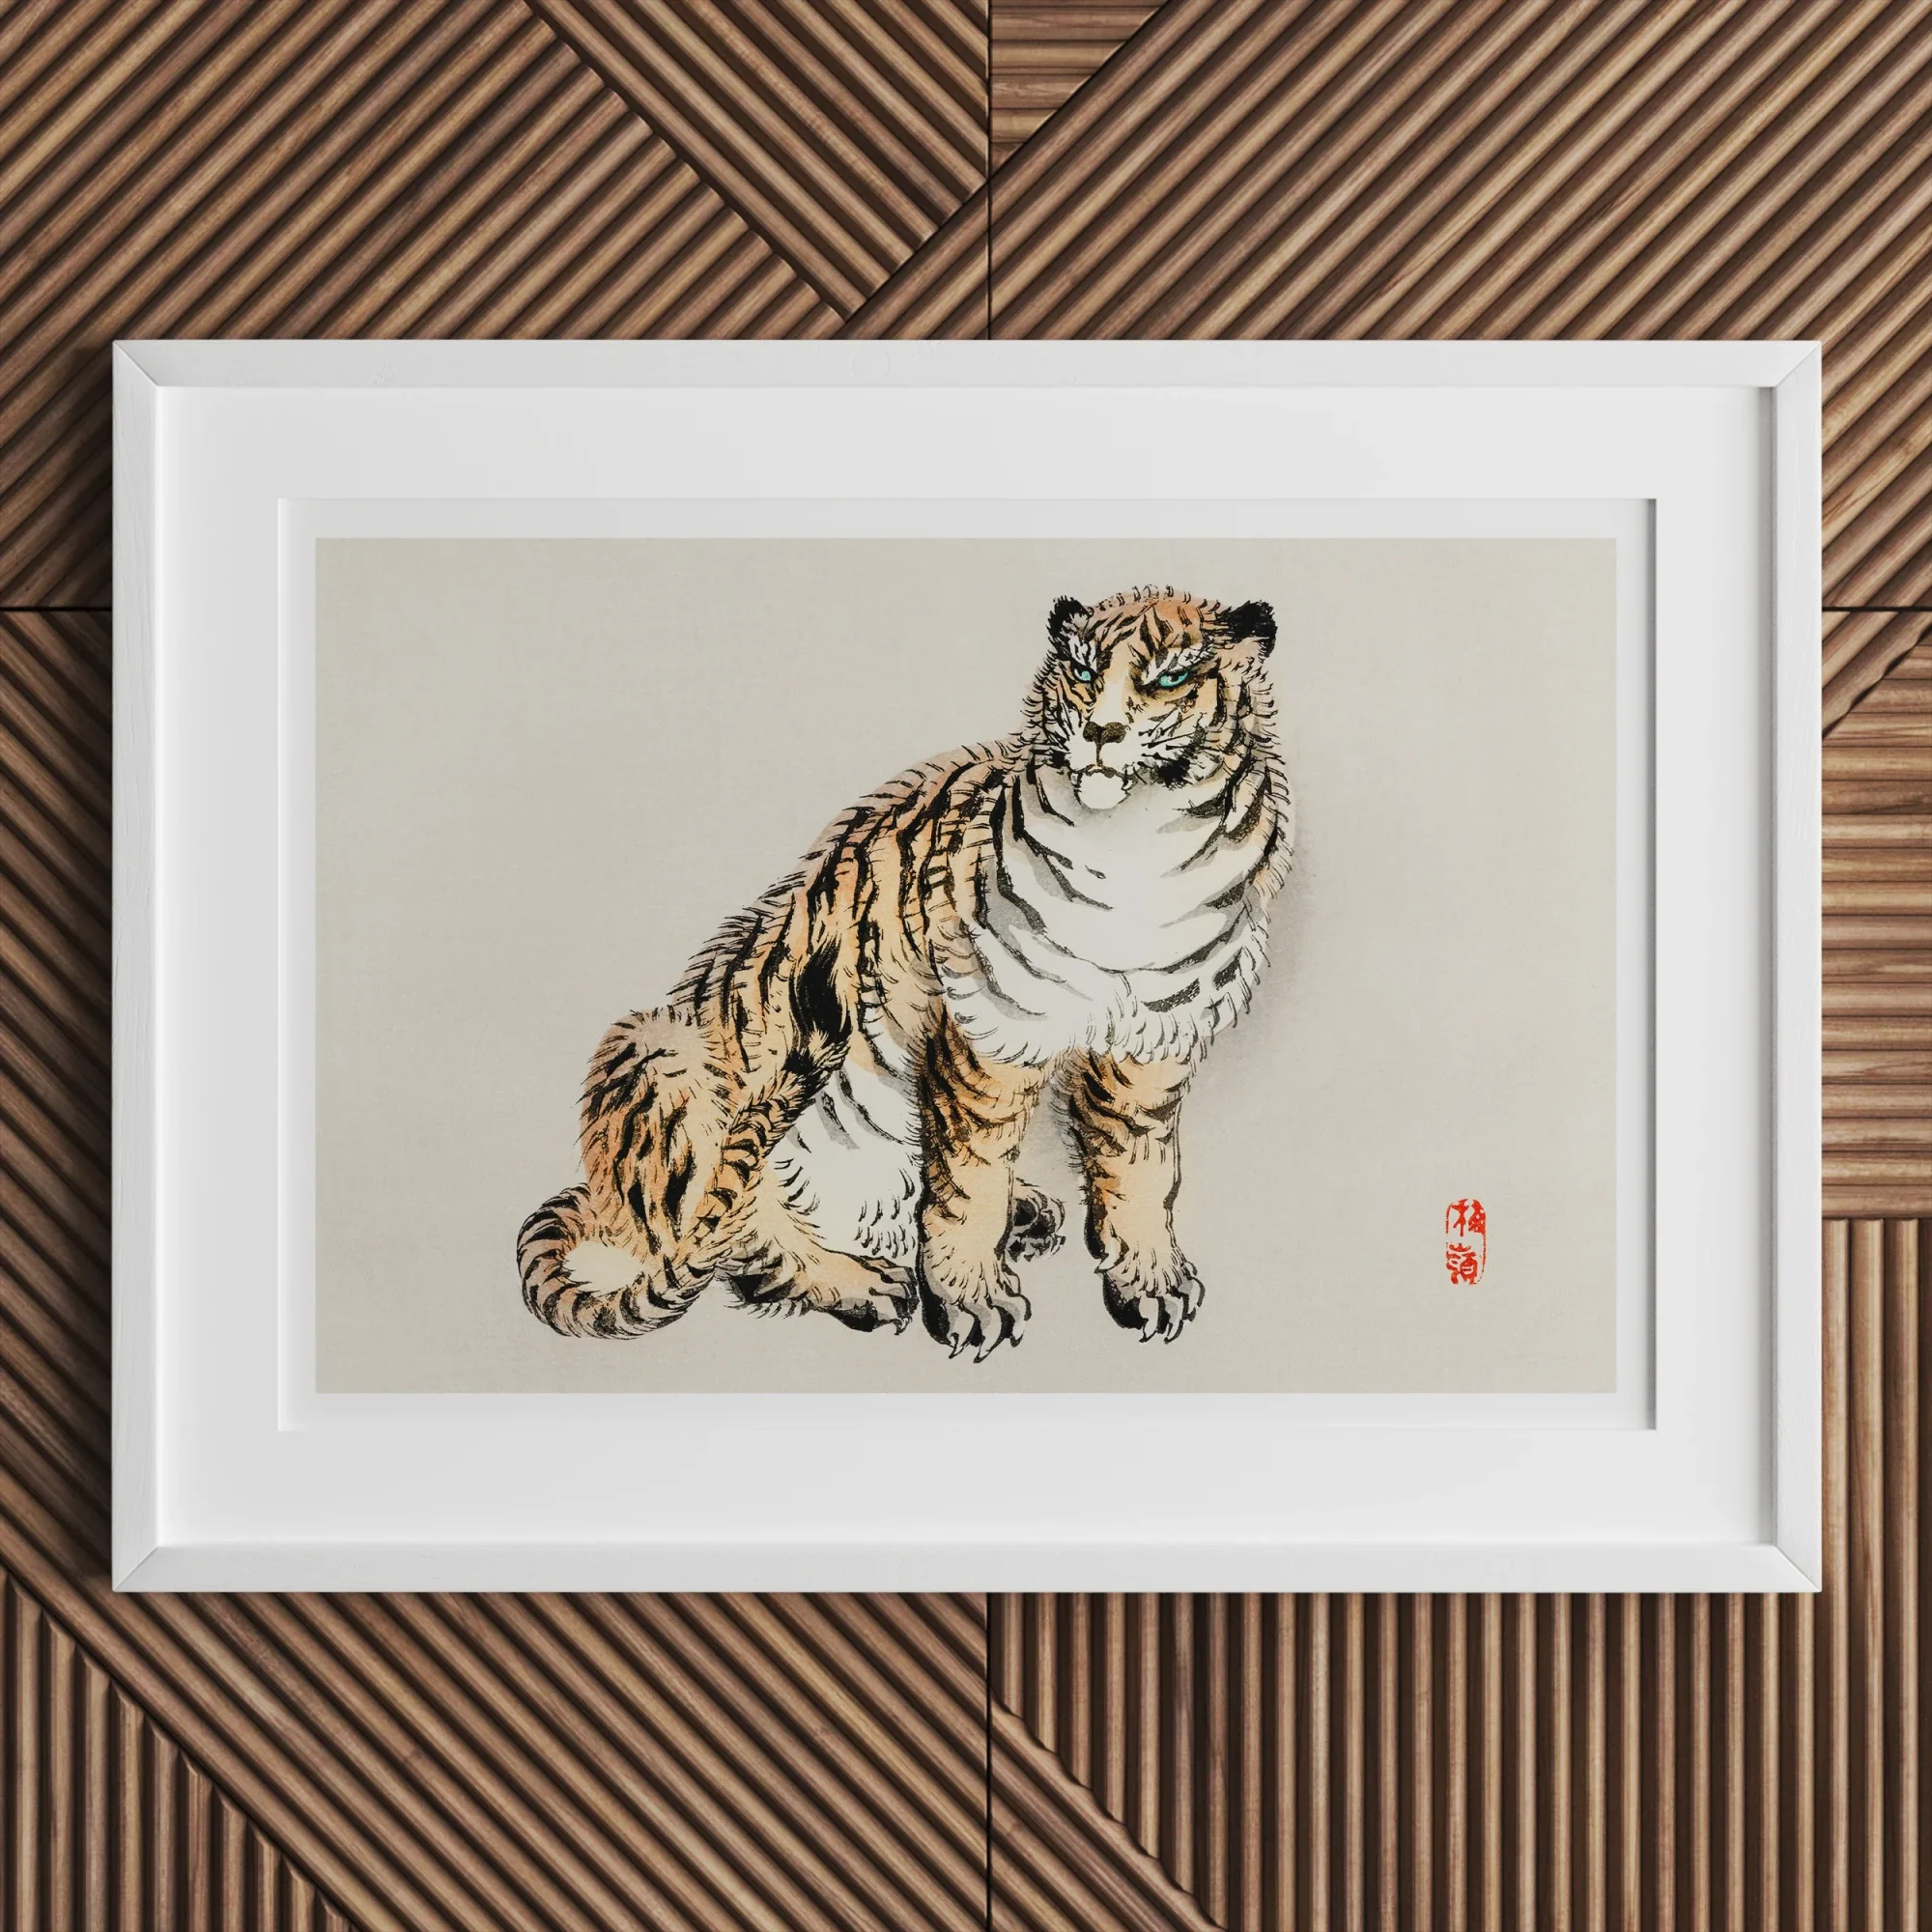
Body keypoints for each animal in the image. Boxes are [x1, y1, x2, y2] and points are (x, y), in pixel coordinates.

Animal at [517, 585, 1293, 1360]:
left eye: (1169, 677)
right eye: (1081, 671)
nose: (1100, 731)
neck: (1141, 847)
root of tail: (603, 1204)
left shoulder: (1152, 1042)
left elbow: (1142, 1169)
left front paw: (1150, 1282)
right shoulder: (986, 1034)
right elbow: (969, 1182)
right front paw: (973, 1302)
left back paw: (1025, 1211)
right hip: (657, 1047)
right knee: (736, 1239)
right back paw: (865, 1283)